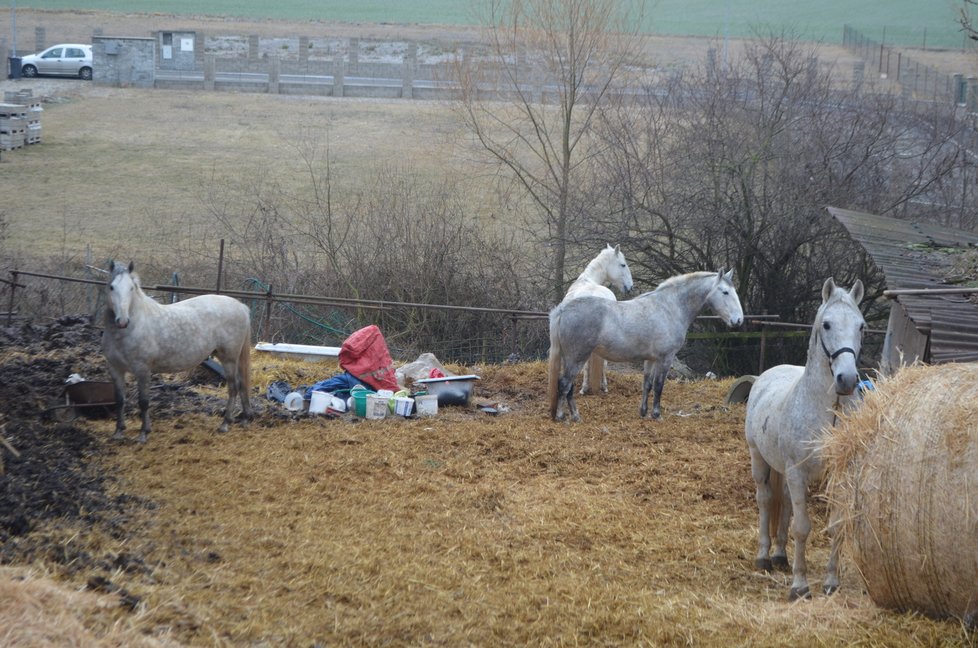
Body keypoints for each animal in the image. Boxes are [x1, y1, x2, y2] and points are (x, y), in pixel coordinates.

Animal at [101, 260, 254, 442]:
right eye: (111, 287)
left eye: (131, 288)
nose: (122, 321)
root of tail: (241, 306)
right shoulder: (115, 369)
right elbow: (119, 400)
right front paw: (118, 431)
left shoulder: (142, 369)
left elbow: (143, 401)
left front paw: (143, 433)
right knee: (241, 384)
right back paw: (244, 419)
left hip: (229, 358)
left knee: (233, 387)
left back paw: (225, 424)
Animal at [544, 270, 744, 422]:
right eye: (725, 292)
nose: (738, 320)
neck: (669, 308)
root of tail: (563, 309)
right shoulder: (665, 358)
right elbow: (658, 386)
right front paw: (656, 414)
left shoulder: (651, 359)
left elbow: (647, 385)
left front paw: (643, 412)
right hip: (577, 358)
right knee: (564, 384)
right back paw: (564, 416)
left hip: (570, 358)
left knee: (567, 386)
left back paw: (573, 415)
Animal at [744, 276, 864, 600]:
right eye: (827, 324)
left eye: (861, 325)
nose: (847, 380)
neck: (826, 411)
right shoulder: (797, 473)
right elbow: (802, 527)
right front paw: (800, 586)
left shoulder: (838, 475)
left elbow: (835, 526)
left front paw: (831, 582)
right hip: (759, 460)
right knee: (765, 500)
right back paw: (764, 557)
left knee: (784, 502)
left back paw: (780, 555)